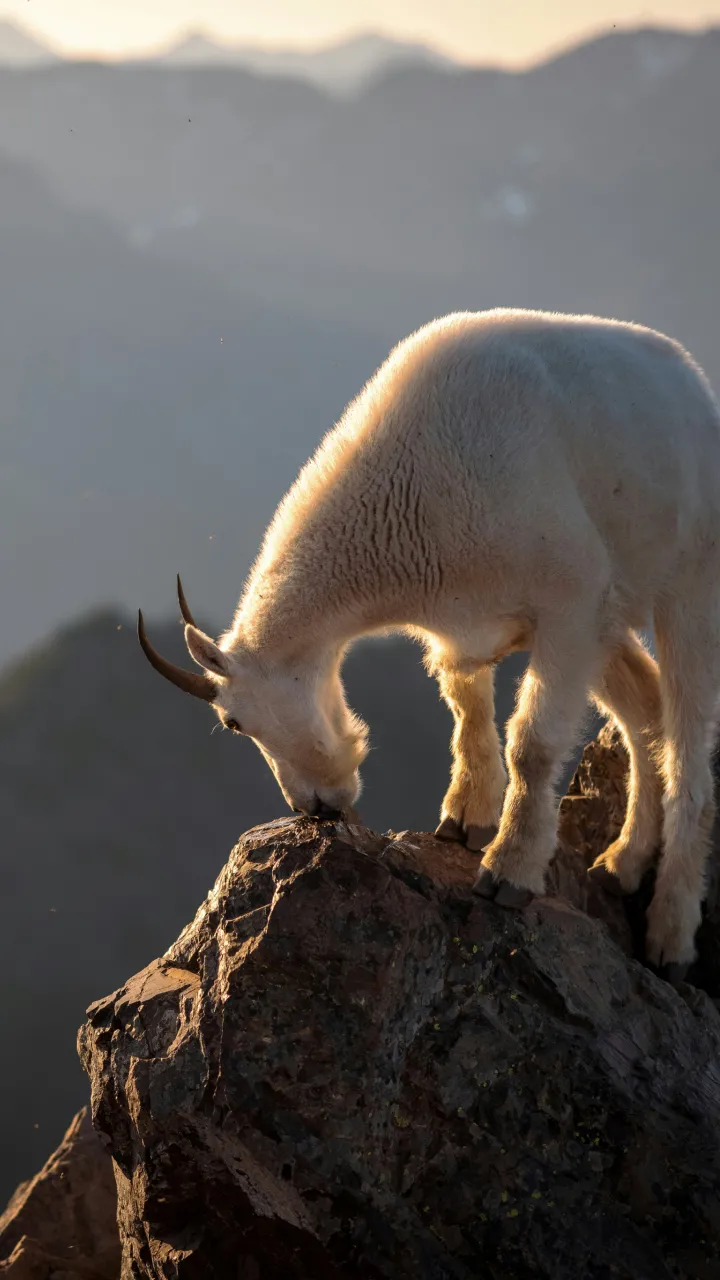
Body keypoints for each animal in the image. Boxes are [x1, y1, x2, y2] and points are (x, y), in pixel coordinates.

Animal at [137, 307, 717, 977]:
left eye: (232, 722)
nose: (317, 807)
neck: (416, 491)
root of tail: (696, 389)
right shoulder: (469, 628)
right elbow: (466, 709)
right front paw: (462, 820)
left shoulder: (571, 601)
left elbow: (534, 746)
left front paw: (508, 873)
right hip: (613, 616)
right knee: (644, 709)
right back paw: (623, 864)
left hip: (688, 584)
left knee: (688, 743)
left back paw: (671, 932)